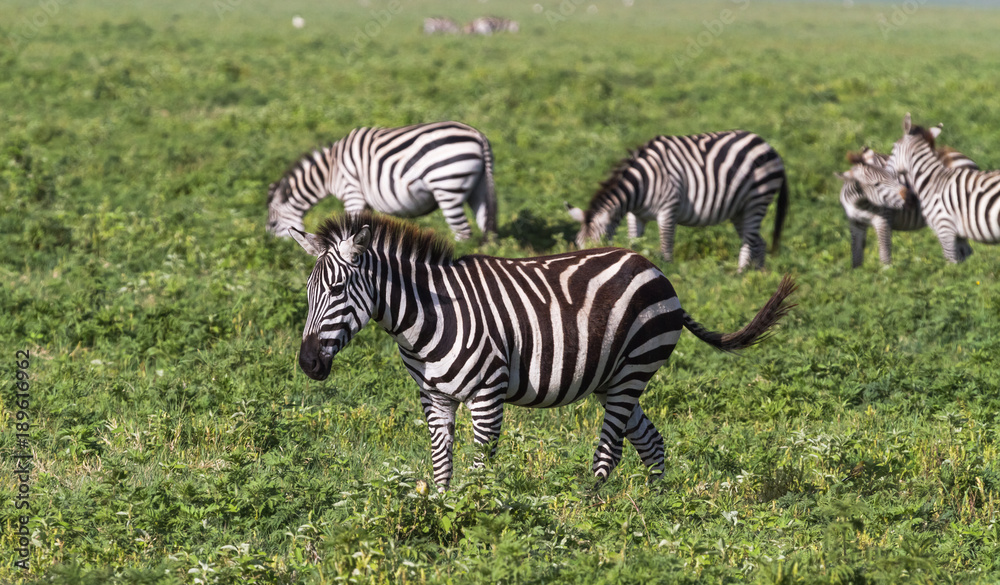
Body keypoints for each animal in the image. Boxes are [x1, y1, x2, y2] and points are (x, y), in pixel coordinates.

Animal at [267, 121, 498, 241]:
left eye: (273, 224)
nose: (275, 251)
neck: (330, 170)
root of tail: (478, 136)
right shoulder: (364, 201)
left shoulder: (352, 192)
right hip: (478, 189)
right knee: (486, 228)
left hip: (447, 186)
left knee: (463, 233)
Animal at [291, 211, 795, 490]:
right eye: (308, 293)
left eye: (336, 289)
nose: (308, 363)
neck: (427, 316)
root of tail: (652, 267)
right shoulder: (433, 397)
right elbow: (440, 466)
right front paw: (441, 512)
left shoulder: (487, 394)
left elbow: (481, 466)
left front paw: (476, 516)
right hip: (612, 377)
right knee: (651, 442)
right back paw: (655, 510)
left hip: (633, 368)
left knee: (610, 450)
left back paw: (589, 513)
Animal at [565, 131, 789, 272]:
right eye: (579, 245)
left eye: (598, 246)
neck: (641, 184)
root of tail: (769, 146)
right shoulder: (635, 216)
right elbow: (634, 242)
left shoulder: (668, 208)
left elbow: (666, 244)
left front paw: (667, 269)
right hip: (739, 209)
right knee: (759, 242)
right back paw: (756, 275)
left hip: (757, 199)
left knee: (749, 240)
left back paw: (740, 273)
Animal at [836, 142, 978, 267]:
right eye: (876, 184)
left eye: (892, 176)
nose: (911, 198)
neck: (858, 202)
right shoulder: (855, 223)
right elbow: (856, 256)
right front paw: (857, 275)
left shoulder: (883, 220)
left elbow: (884, 254)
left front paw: (886, 276)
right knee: (965, 251)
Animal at [889, 113, 1000, 263]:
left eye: (893, 148)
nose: (885, 171)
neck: (932, 181)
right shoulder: (958, 234)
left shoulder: (945, 229)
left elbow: (951, 264)